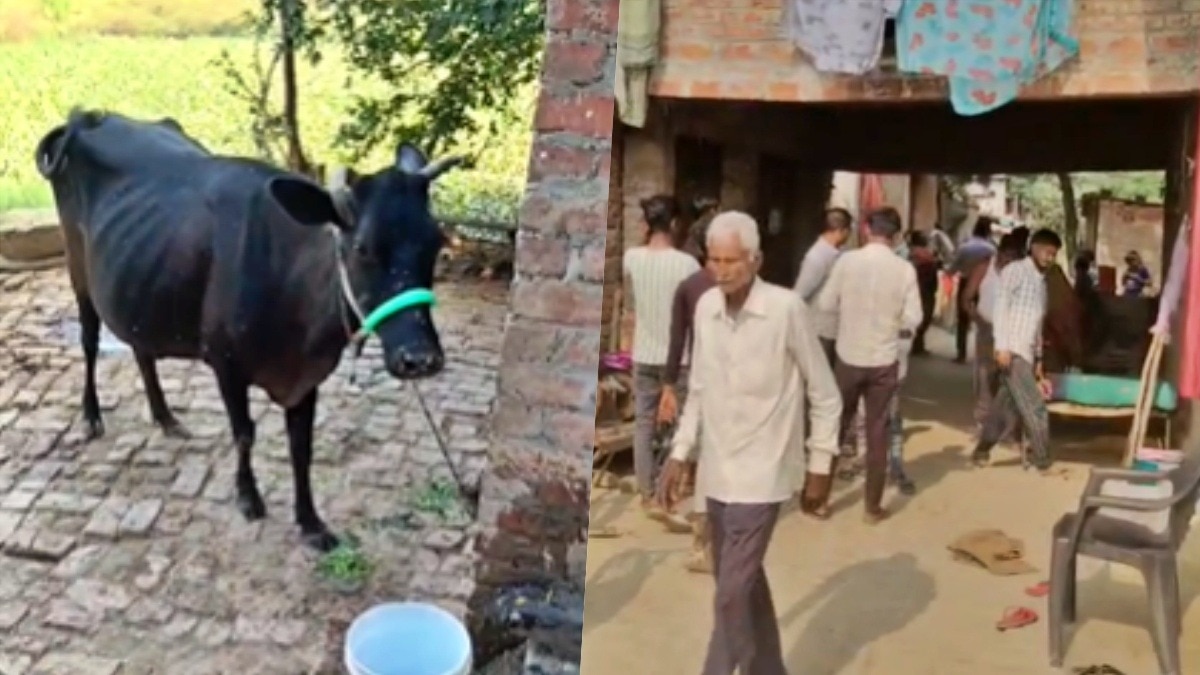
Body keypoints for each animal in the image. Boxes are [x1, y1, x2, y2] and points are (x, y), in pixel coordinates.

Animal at [34, 108, 463, 551]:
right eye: (362, 247)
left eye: (436, 242)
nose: (420, 358)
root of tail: (90, 116)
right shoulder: (226, 365)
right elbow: (244, 433)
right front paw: (249, 498)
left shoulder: (305, 377)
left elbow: (301, 448)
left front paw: (310, 522)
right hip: (78, 269)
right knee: (89, 340)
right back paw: (91, 416)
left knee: (141, 347)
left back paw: (166, 417)